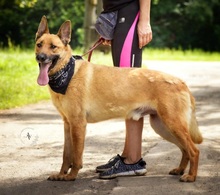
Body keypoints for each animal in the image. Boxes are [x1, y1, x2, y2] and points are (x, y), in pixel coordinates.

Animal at [34, 16, 203, 182]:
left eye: (53, 47)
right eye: (39, 45)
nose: (40, 57)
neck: (67, 73)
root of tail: (181, 82)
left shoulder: (78, 125)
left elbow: (76, 156)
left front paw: (71, 176)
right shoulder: (67, 124)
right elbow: (66, 155)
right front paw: (61, 174)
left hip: (173, 125)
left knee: (194, 150)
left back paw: (191, 176)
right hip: (163, 127)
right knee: (185, 150)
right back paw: (180, 170)